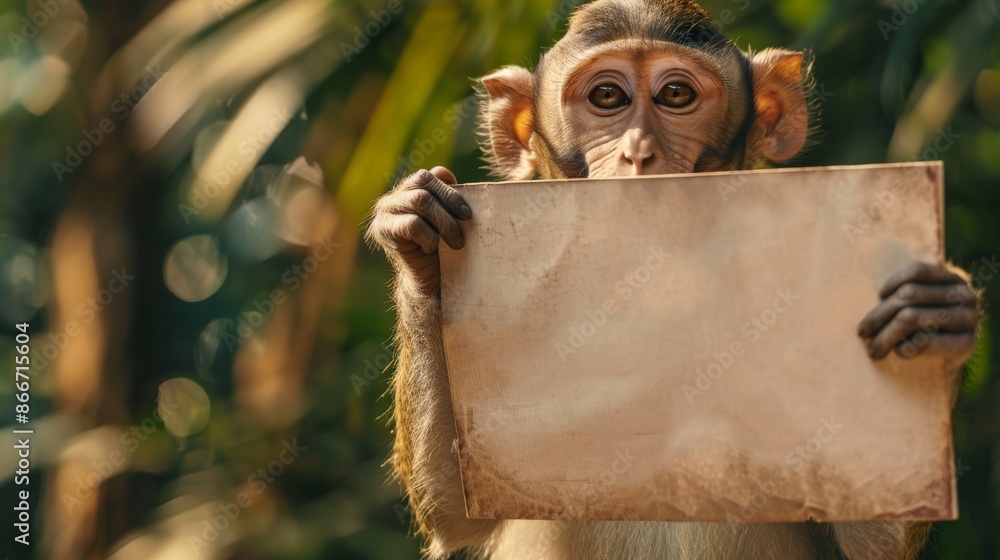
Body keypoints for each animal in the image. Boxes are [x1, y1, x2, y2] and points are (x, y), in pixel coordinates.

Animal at [366, 0, 980, 558]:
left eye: (676, 96)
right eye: (607, 98)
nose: (639, 151)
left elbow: (870, 531)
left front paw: (935, 318)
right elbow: (456, 514)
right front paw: (419, 241)